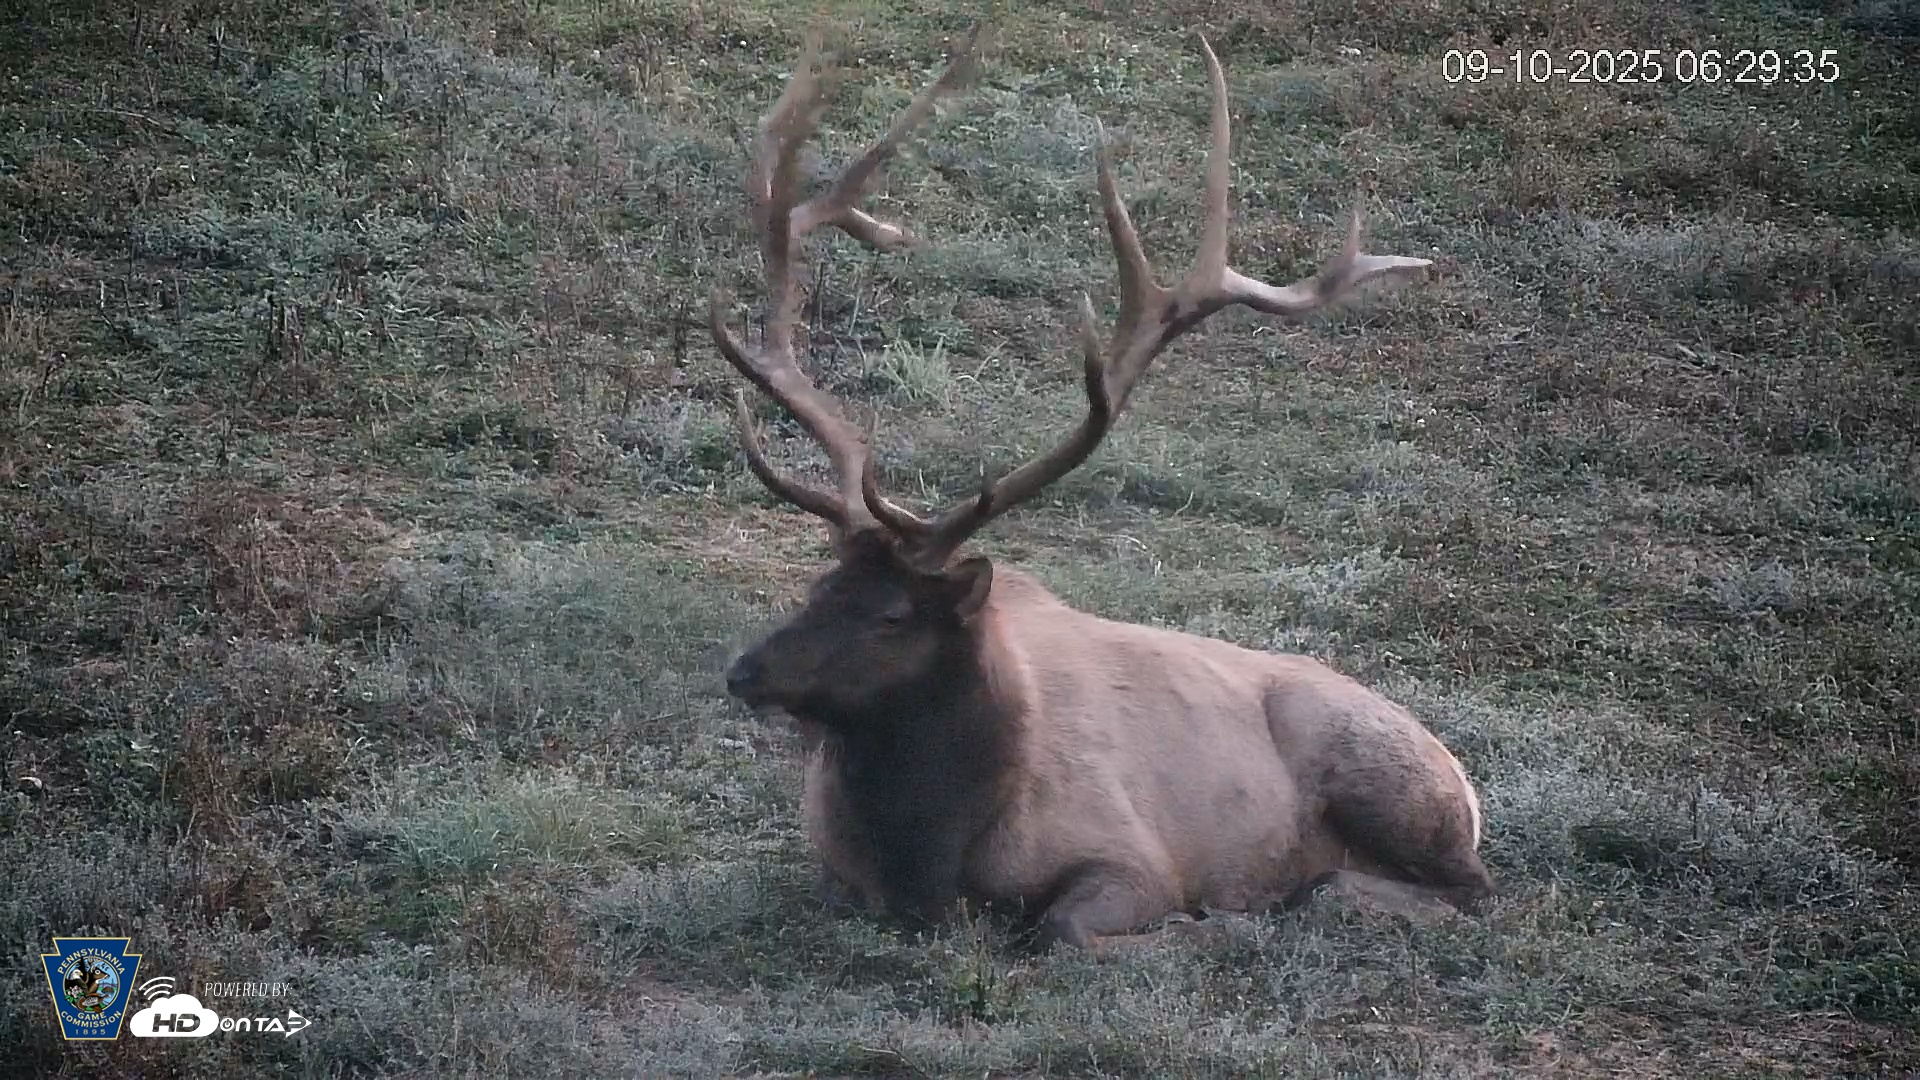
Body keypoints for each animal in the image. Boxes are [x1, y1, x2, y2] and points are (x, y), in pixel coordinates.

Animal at [710, 29, 1495, 950]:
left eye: (893, 614)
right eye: (817, 587)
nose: (745, 672)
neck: (928, 857)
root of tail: (1466, 780)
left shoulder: (1129, 857)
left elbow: (1063, 929)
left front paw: (1196, 924)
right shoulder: (835, 875)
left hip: (1388, 778)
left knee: (1463, 891)